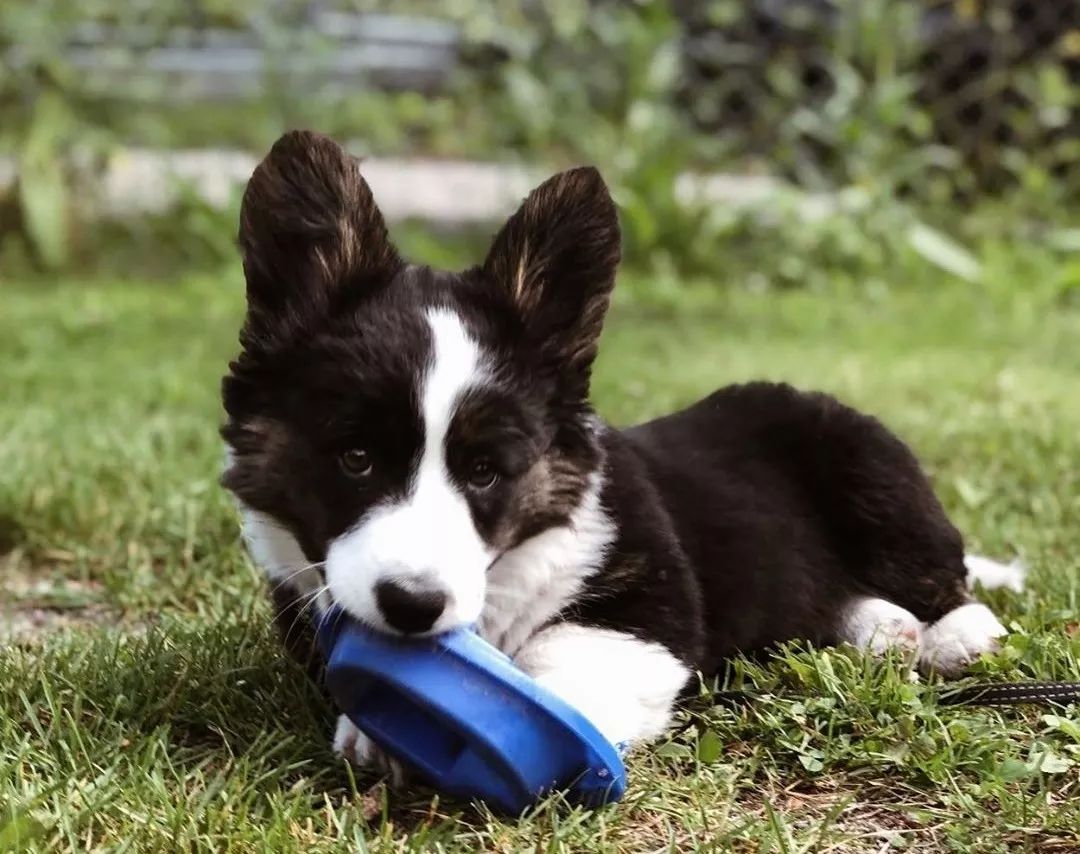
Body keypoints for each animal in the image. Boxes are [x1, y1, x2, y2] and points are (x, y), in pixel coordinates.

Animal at [221, 133, 1019, 773]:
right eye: (355, 457)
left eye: (484, 471)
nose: (414, 605)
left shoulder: (646, 605)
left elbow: (556, 669)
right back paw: (880, 629)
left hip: (871, 471)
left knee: (938, 569)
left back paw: (957, 633)